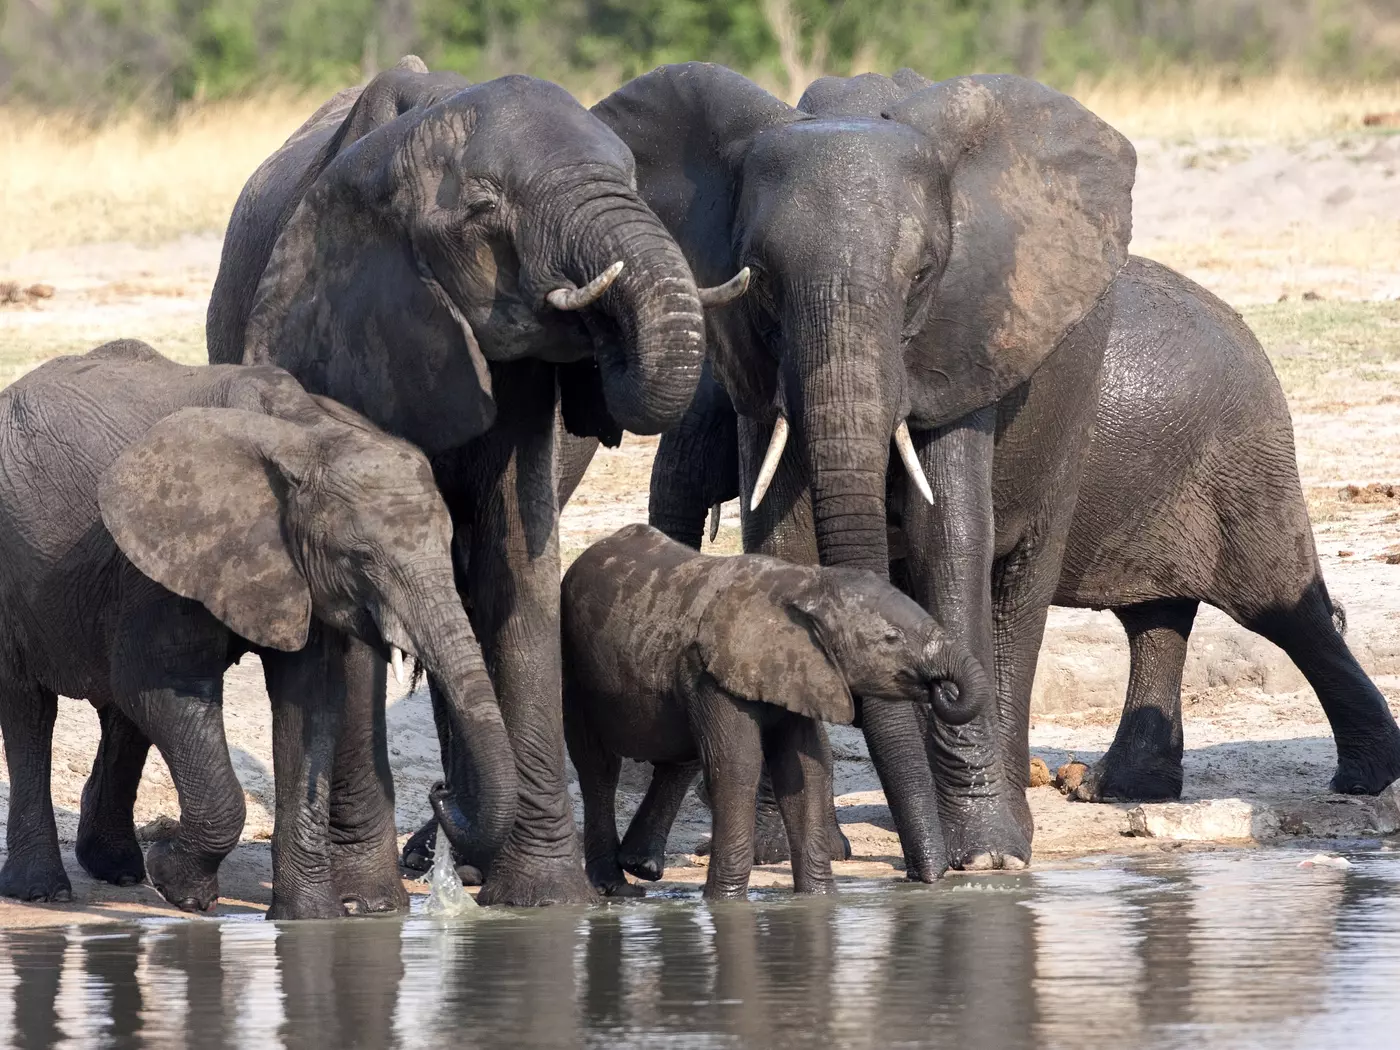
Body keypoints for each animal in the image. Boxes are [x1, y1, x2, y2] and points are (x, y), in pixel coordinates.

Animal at [0, 340, 516, 918]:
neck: (307, 436)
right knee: (27, 707)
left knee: (118, 715)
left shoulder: (295, 571)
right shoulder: (169, 558)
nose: (440, 790)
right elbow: (157, 686)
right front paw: (180, 885)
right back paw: (42, 889)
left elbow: (309, 701)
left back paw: (118, 869)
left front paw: (308, 919)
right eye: (360, 558)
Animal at [204, 57, 744, 905]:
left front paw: (545, 899)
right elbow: (356, 598)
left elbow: (513, 563)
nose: (436, 798)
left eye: (631, 179)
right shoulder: (337, 334)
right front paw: (365, 902)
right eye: (486, 209)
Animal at [560, 524, 989, 899]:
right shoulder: (711, 674)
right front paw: (724, 903)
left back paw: (640, 867)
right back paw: (616, 887)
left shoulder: (801, 670)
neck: (805, 586)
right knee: (598, 766)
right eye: (891, 639)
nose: (940, 688)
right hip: (574, 663)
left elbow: (807, 772)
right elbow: (737, 767)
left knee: (678, 758)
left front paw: (818, 900)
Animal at [593, 63, 1138, 877]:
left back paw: (1007, 833)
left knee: (1018, 592)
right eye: (760, 281)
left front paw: (984, 858)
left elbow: (950, 541)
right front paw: (779, 854)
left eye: (922, 275)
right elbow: (782, 541)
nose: (924, 872)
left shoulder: (964, 338)